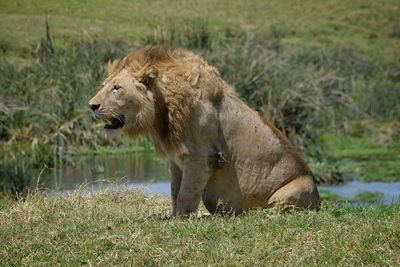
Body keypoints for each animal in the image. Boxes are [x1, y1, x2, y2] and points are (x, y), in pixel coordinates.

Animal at [89, 46, 320, 217]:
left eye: (116, 88)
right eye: (104, 85)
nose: (91, 105)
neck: (164, 110)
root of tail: (319, 200)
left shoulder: (202, 158)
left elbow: (185, 194)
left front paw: (180, 220)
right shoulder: (176, 161)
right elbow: (175, 191)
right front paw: (173, 216)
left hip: (298, 187)